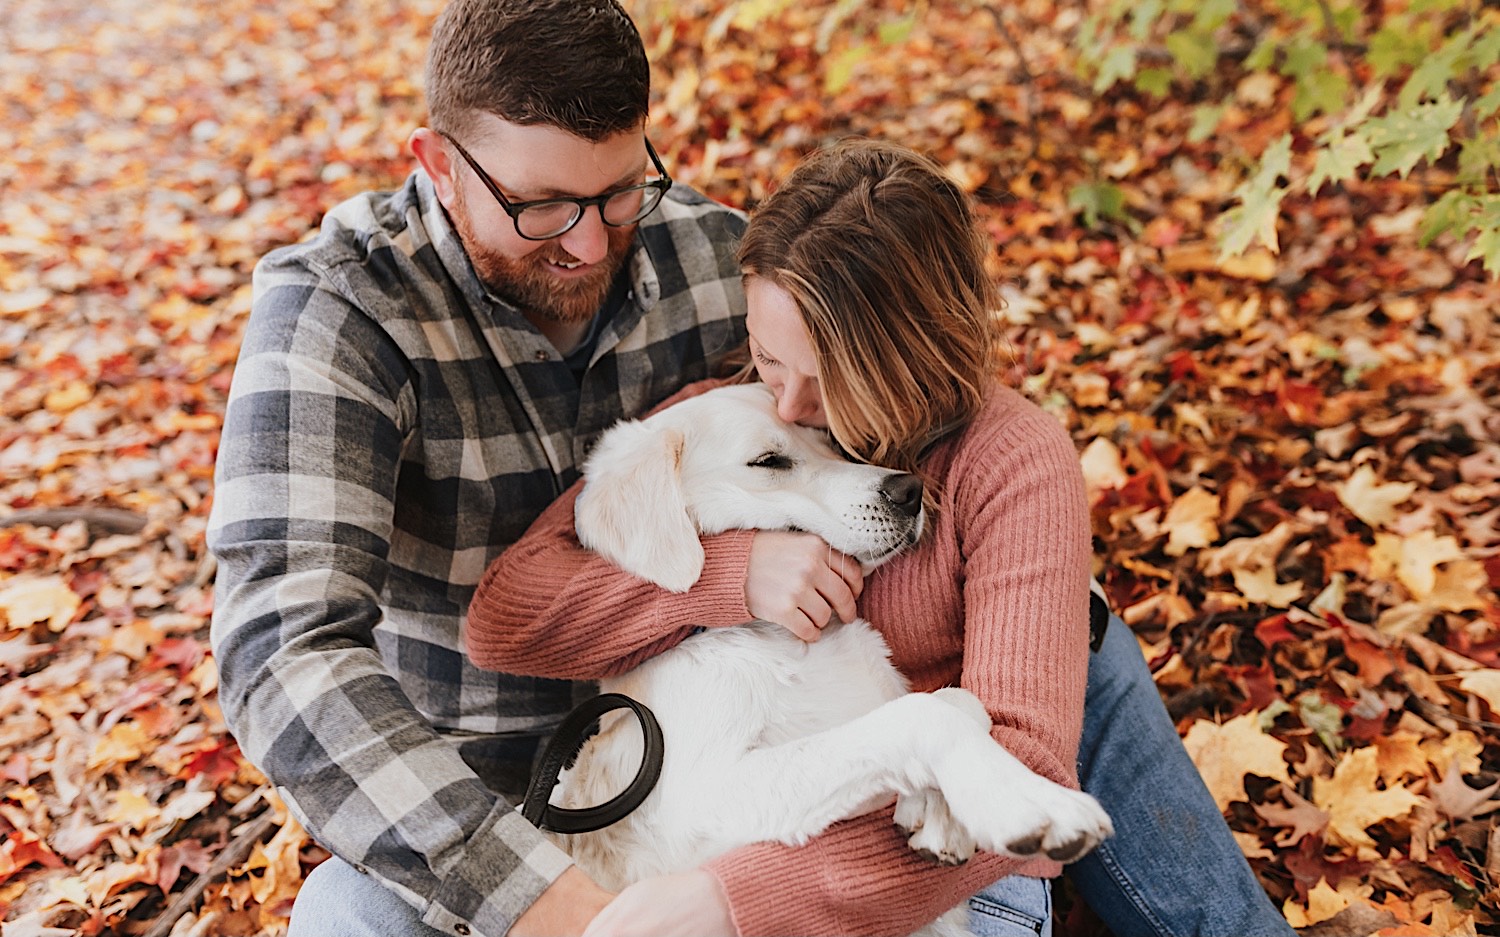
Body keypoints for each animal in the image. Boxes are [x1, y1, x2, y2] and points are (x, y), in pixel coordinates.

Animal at [552, 382, 1116, 935]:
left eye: (827, 439)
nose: (909, 491)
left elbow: (960, 701)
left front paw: (941, 814)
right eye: (770, 461)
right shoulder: (694, 807)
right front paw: (1025, 805)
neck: (788, 639)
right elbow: (918, 715)